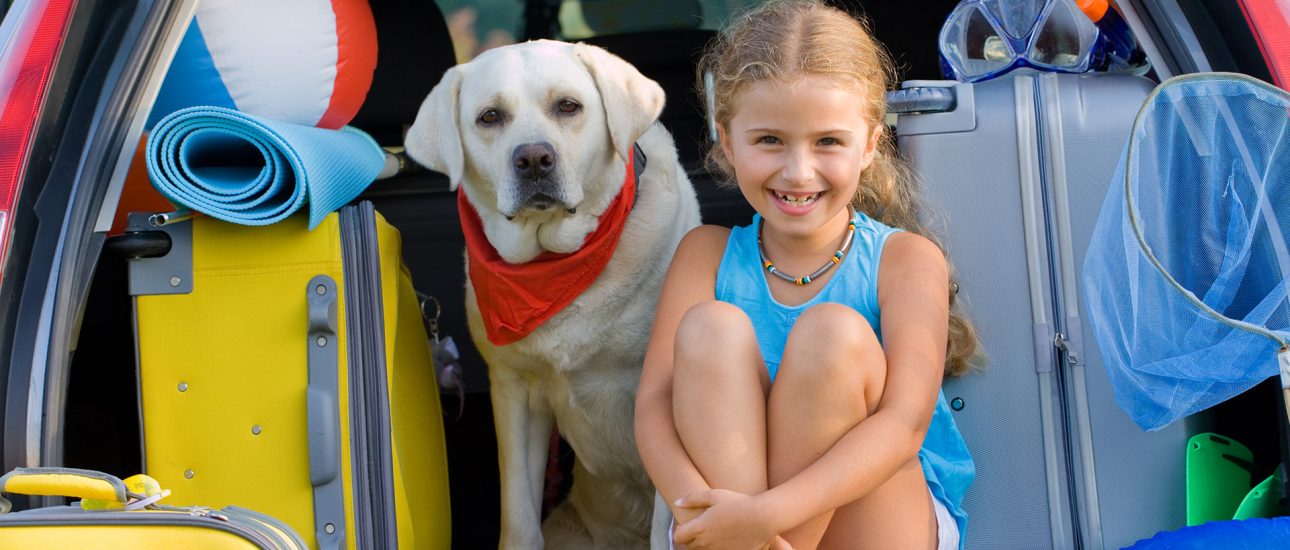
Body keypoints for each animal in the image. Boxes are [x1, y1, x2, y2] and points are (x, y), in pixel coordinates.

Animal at [407, 40, 701, 547]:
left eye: (568, 106)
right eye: (490, 117)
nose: (533, 159)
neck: (558, 266)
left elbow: (667, 522)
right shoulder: (514, 390)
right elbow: (519, 518)